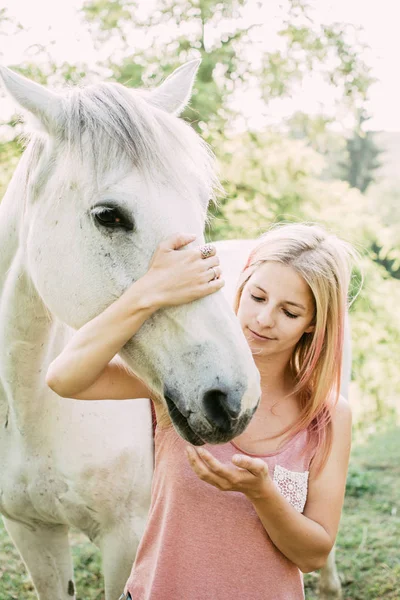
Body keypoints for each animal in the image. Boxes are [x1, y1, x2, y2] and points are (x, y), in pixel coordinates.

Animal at [0, 62, 260, 600]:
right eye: (109, 216)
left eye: (201, 204)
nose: (235, 399)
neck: (30, 408)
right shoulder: (32, 532)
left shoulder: (125, 537)